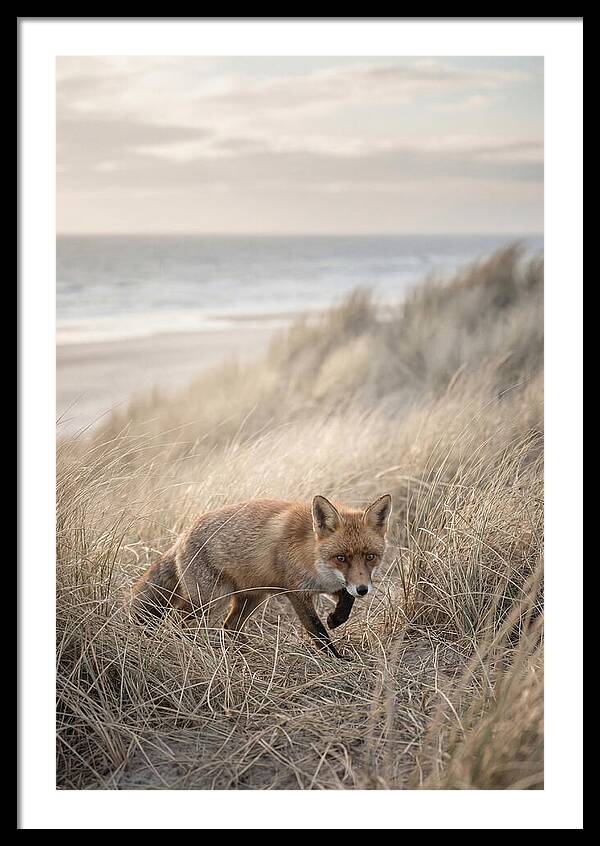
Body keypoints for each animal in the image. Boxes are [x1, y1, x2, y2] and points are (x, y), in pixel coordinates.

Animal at [130, 493, 392, 659]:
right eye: (341, 558)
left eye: (370, 556)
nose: (363, 590)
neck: (312, 554)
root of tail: (182, 535)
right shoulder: (296, 592)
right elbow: (317, 630)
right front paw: (336, 659)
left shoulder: (331, 585)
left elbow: (346, 601)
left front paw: (336, 619)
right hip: (211, 601)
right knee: (178, 620)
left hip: (252, 597)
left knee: (230, 625)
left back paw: (244, 652)